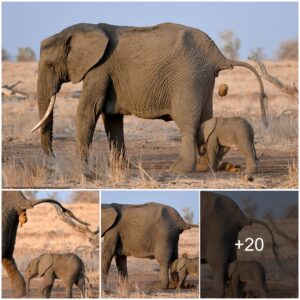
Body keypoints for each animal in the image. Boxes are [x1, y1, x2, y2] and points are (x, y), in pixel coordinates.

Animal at [31, 22, 268, 176]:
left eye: (50, 65)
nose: (51, 164)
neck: (74, 31)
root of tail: (218, 54)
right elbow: (112, 118)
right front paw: (120, 168)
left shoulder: (98, 69)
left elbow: (88, 110)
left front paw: (81, 168)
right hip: (203, 78)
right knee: (205, 119)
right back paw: (204, 167)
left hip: (188, 77)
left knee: (187, 122)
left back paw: (180, 169)